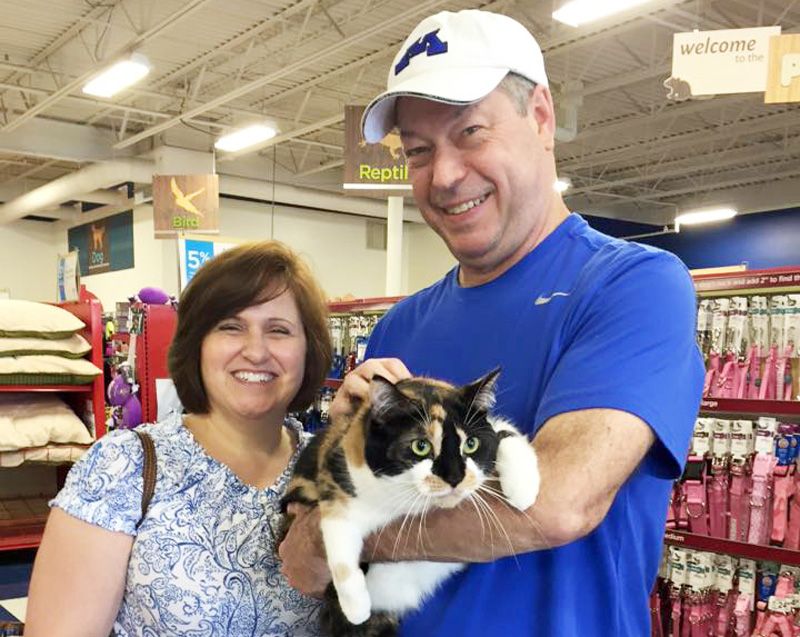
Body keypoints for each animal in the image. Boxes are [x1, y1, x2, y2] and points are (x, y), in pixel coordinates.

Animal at [280, 368, 536, 636]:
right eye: (420, 446)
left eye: (471, 444)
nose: (455, 477)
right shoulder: (339, 486)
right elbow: (339, 540)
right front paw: (356, 607)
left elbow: (503, 431)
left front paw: (523, 488)